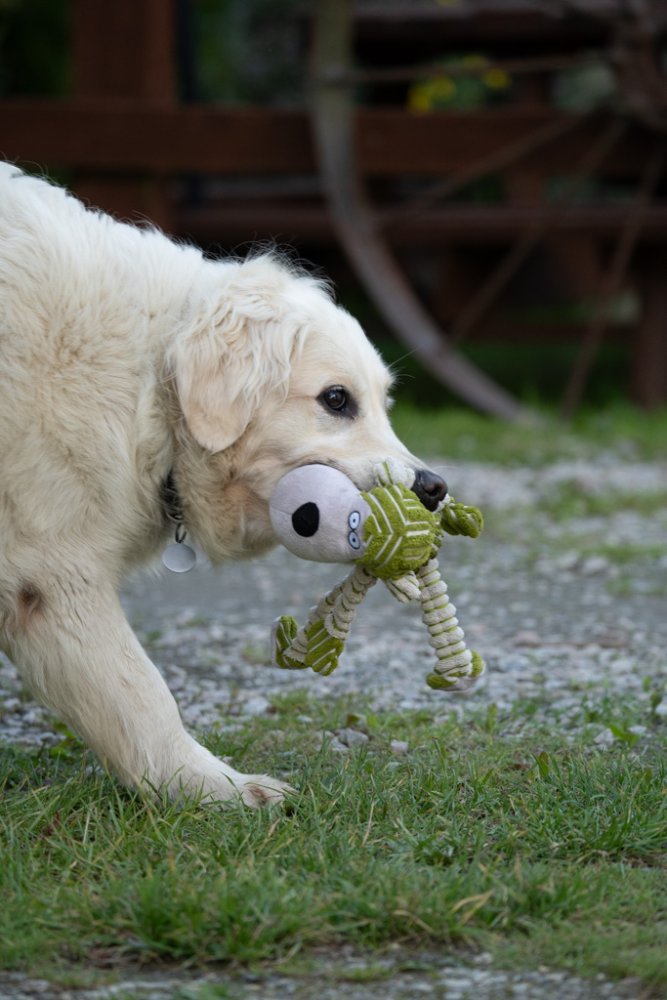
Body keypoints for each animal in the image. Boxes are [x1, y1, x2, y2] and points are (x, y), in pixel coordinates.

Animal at [1, 162, 448, 804]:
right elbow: (142, 695)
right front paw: (219, 790)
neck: (152, 388)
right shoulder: (52, 572)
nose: (435, 488)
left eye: (384, 404)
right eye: (337, 400)